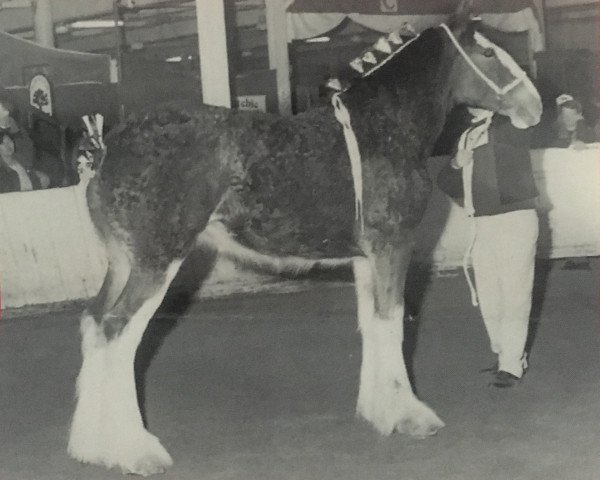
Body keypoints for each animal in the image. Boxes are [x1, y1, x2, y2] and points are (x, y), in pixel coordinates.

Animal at [68, 1, 540, 476]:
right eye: (487, 53)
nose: (533, 106)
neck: (382, 126)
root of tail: (107, 147)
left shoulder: (367, 258)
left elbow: (372, 324)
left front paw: (377, 411)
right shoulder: (393, 246)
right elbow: (392, 322)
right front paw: (410, 416)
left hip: (124, 262)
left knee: (94, 322)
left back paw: (91, 446)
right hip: (157, 262)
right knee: (117, 332)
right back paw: (136, 451)